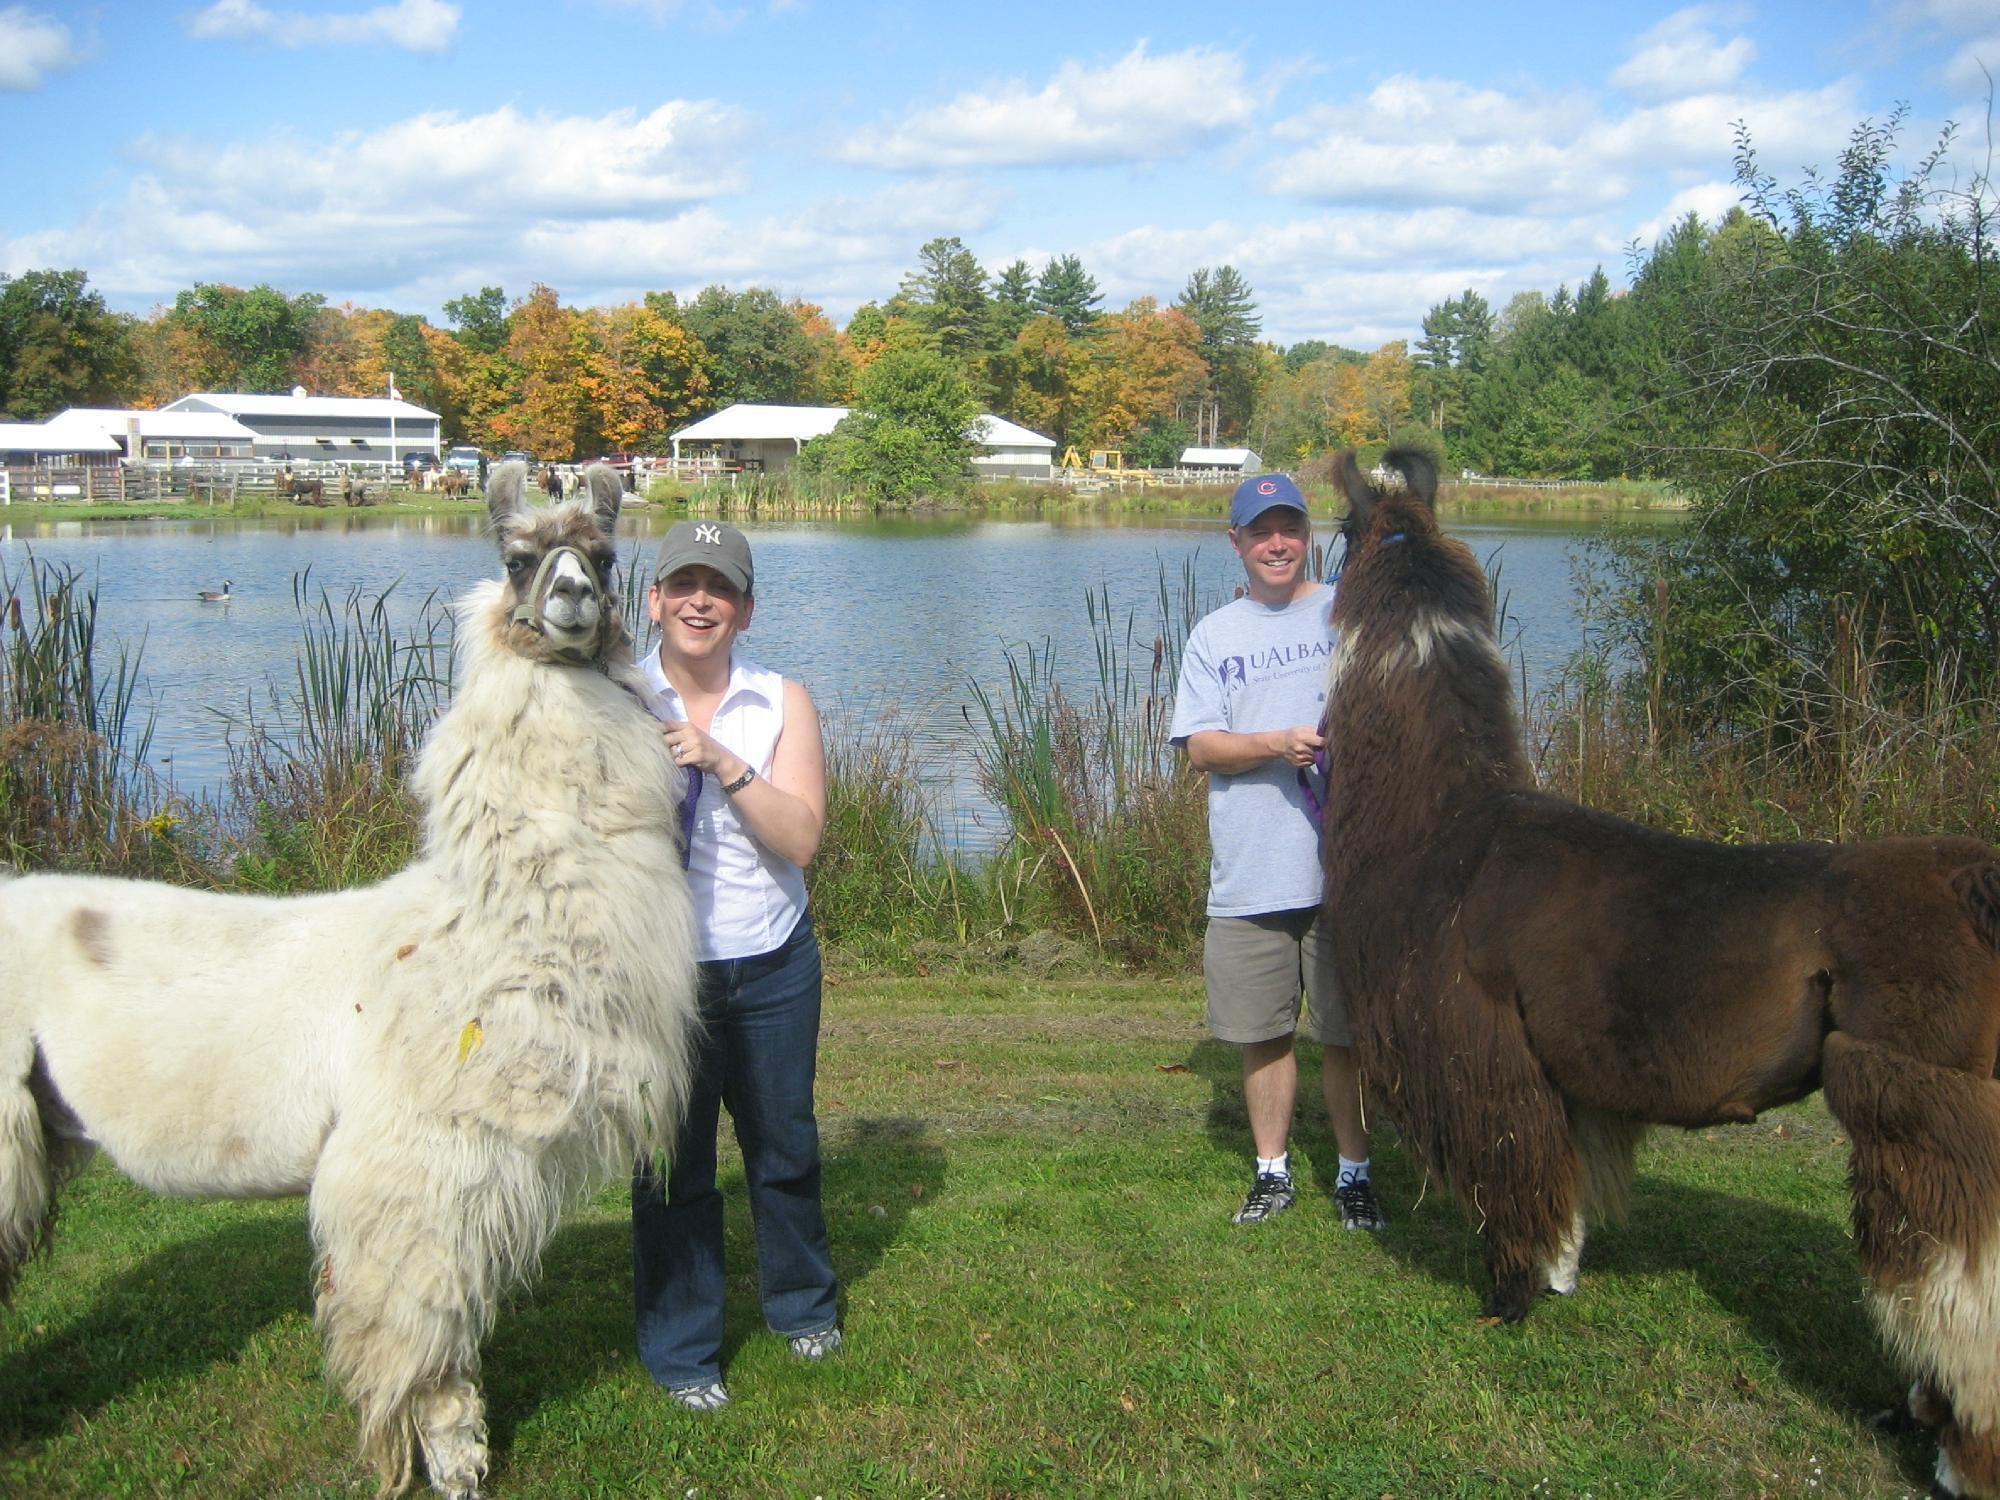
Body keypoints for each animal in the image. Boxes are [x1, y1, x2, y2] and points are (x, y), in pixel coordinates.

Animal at [0, 464, 704, 1496]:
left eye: (606, 556)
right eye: (517, 559)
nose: (573, 599)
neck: (484, 936)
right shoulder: (413, 1165)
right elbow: (423, 1342)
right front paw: (447, 1466)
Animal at [1320, 446, 2000, 1500]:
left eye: (1343, 534)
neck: (1443, 833)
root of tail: (1974, 882)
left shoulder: (1478, 1046)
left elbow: (1510, 1175)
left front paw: (1504, 1303)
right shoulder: (1559, 1066)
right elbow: (1562, 1181)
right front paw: (1557, 1276)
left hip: (1922, 1087)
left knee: (1961, 1281)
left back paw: (1959, 1459)